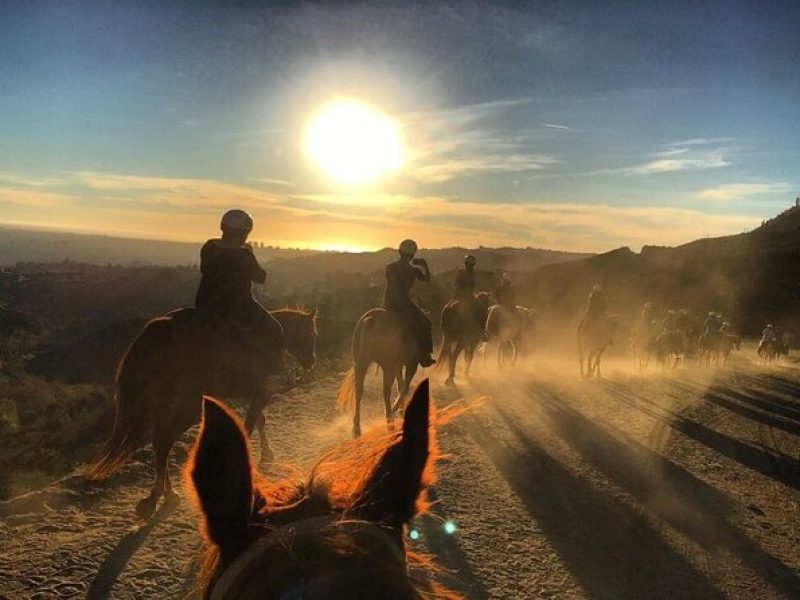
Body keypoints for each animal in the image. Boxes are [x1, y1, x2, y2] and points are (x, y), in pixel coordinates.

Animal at [83, 308, 316, 516]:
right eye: (312, 333)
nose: (311, 362)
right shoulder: (263, 389)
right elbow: (252, 423)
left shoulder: (255, 391)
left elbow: (259, 420)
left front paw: (266, 454)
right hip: (189, 405)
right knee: (165, 439)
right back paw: (155, 497)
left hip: (166, 403)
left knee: (160, 441)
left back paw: (168, 494)